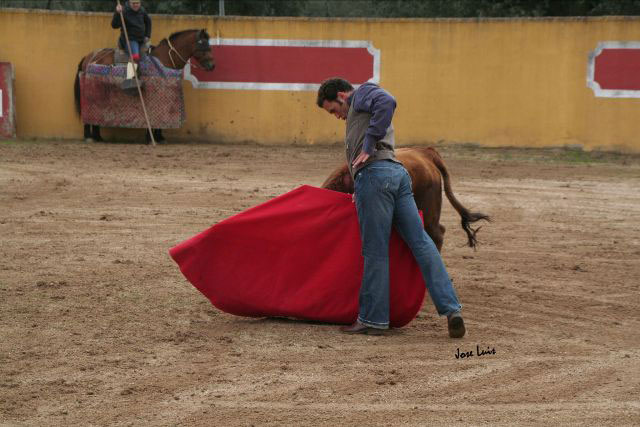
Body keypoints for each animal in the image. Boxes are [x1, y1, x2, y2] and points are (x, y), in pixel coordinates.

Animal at [73, 29, 215, 145]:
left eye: (209, 45)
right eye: (202, 44)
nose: (212, 66)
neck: (164, 59)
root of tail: (89, 57)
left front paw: (159, 138)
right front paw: (150, 138)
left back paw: (98, 137)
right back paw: (89, 137)